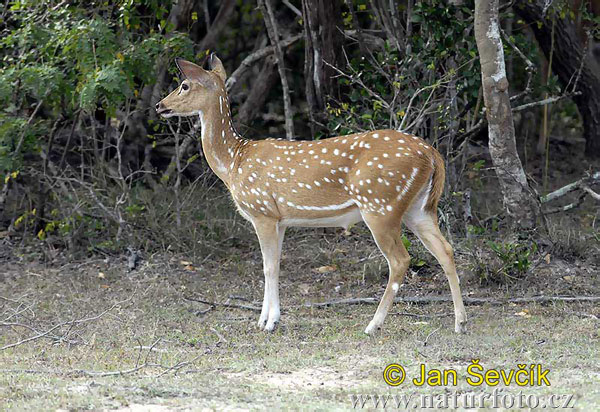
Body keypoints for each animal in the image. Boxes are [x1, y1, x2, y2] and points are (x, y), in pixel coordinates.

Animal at [157, 55, 466, 334]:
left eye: (184, 85)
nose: (160, 106)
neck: (234, 162)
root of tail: (432, 154)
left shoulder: (262, 211)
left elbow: (268, 267)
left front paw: (268, 323)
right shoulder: (280, 219)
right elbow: (274, 264)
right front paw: (266, 319)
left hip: (380, 205)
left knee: (400, 260)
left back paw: (373, 325)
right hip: (418, 207)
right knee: (445, 249)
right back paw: (460, 323)